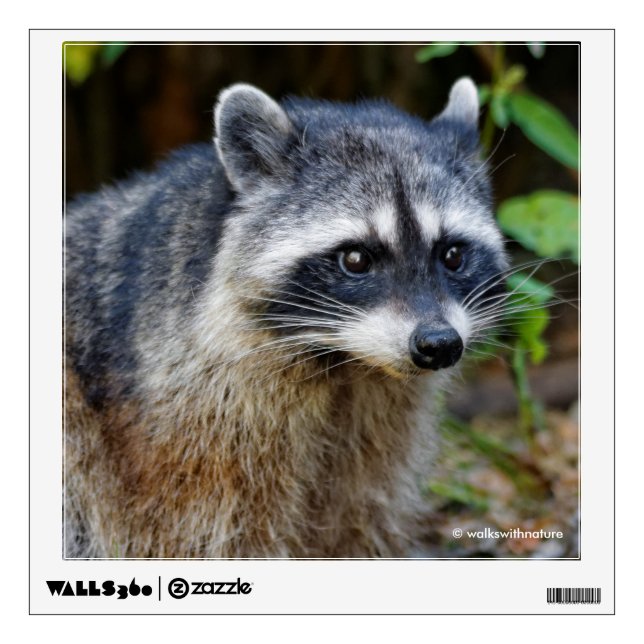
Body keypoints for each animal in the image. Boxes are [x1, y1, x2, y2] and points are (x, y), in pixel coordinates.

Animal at [64, 77, 507, 558]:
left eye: (453, 255)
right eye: (356, 258)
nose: (439, 344)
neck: (346, 362)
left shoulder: (377, 420)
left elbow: (355, 513)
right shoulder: (191, 423)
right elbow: (211, 533)